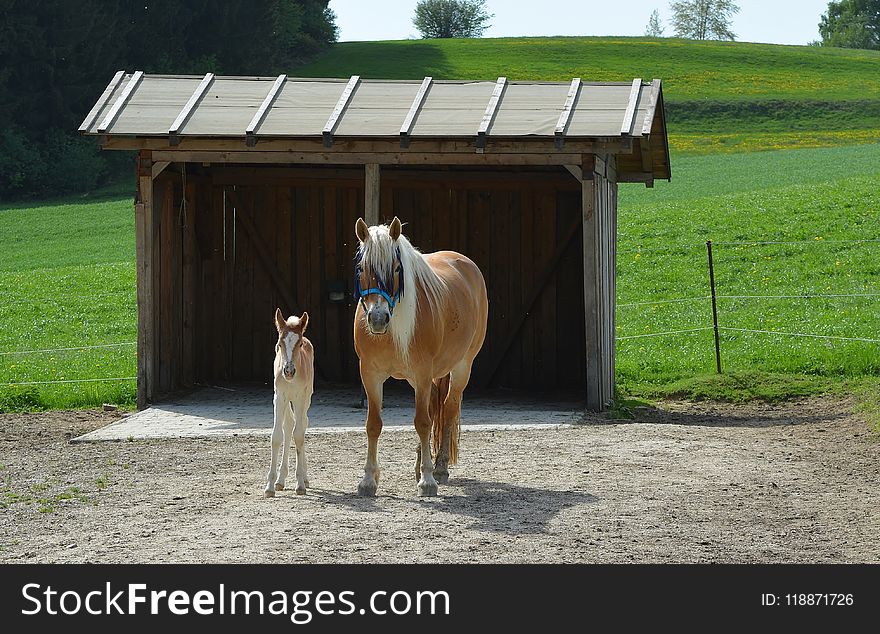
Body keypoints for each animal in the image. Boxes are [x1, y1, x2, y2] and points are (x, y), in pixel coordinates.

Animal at [266, 308, 314, 496]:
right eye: (280, 343)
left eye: (299, 344)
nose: (288, 371)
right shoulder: (279, 397)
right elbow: (277, 436)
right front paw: (270, 486)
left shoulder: (300, 397)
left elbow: (299, 435)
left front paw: (300, 484)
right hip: (286, 401)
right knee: (288, 426)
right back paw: (280, 480)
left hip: (306, 398)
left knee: (302, 424)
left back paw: (305, 477)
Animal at [352, 215, 488, 496]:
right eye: (361, 268)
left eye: (396, 269)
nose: (378, 319)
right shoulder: (370, 374)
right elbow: (373, 424)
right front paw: (369, 479)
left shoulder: (423, 372)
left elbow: (423, 423)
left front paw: (427, 480)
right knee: (435, 406)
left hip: (461, 367)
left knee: (448, 408)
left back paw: (440, 468)